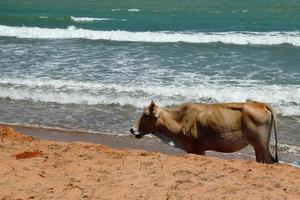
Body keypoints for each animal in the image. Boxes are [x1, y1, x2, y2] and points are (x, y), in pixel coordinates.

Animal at [131, 101, 278, 163]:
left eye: (145, 115)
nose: (132, 129)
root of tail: (261, 104)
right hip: (258, 146)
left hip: (261, 144)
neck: (179, 120)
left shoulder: (197, 148)